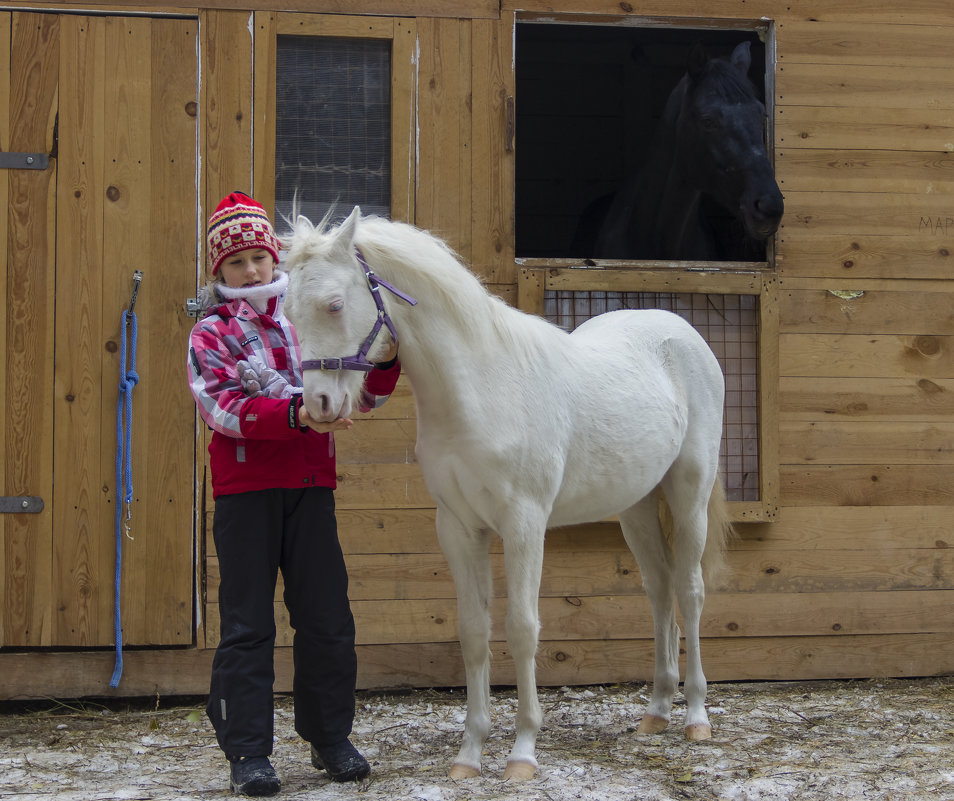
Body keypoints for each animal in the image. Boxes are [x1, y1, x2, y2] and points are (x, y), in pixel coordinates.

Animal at [280, 208, 728, 780]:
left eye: (335, 304)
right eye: (288, 310)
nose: (318, 405)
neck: (481, 388)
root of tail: (682, 332)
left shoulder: (523, 524)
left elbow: (522, 629)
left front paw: (522, 752)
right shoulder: (458, 528)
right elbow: (473, 633)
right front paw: (469, 755)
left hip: (689, 489)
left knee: (690, 591)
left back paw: (695, 717)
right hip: (637, 507)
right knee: (659, 588)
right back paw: (656, 711)